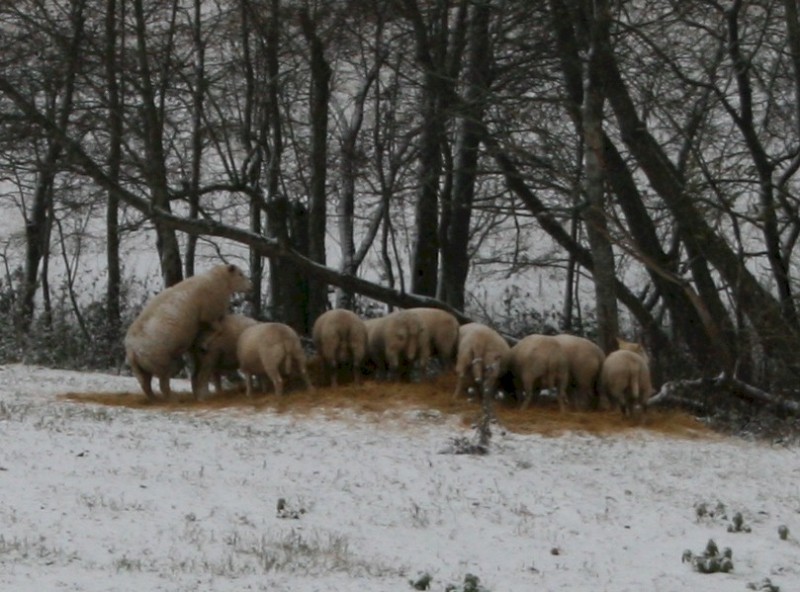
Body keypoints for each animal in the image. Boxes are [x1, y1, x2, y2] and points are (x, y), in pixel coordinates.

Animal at [123, 264, 250, 400]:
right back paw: (172, 399)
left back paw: (154, 399)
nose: (251, 286)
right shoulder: (208, 315)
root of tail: (132, 350)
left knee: (145, 385)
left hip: (140, 369)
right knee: (163, 384)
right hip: (160, 362)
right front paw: (205, 344)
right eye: (240, 274)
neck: (218, 281)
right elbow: (218, 329)